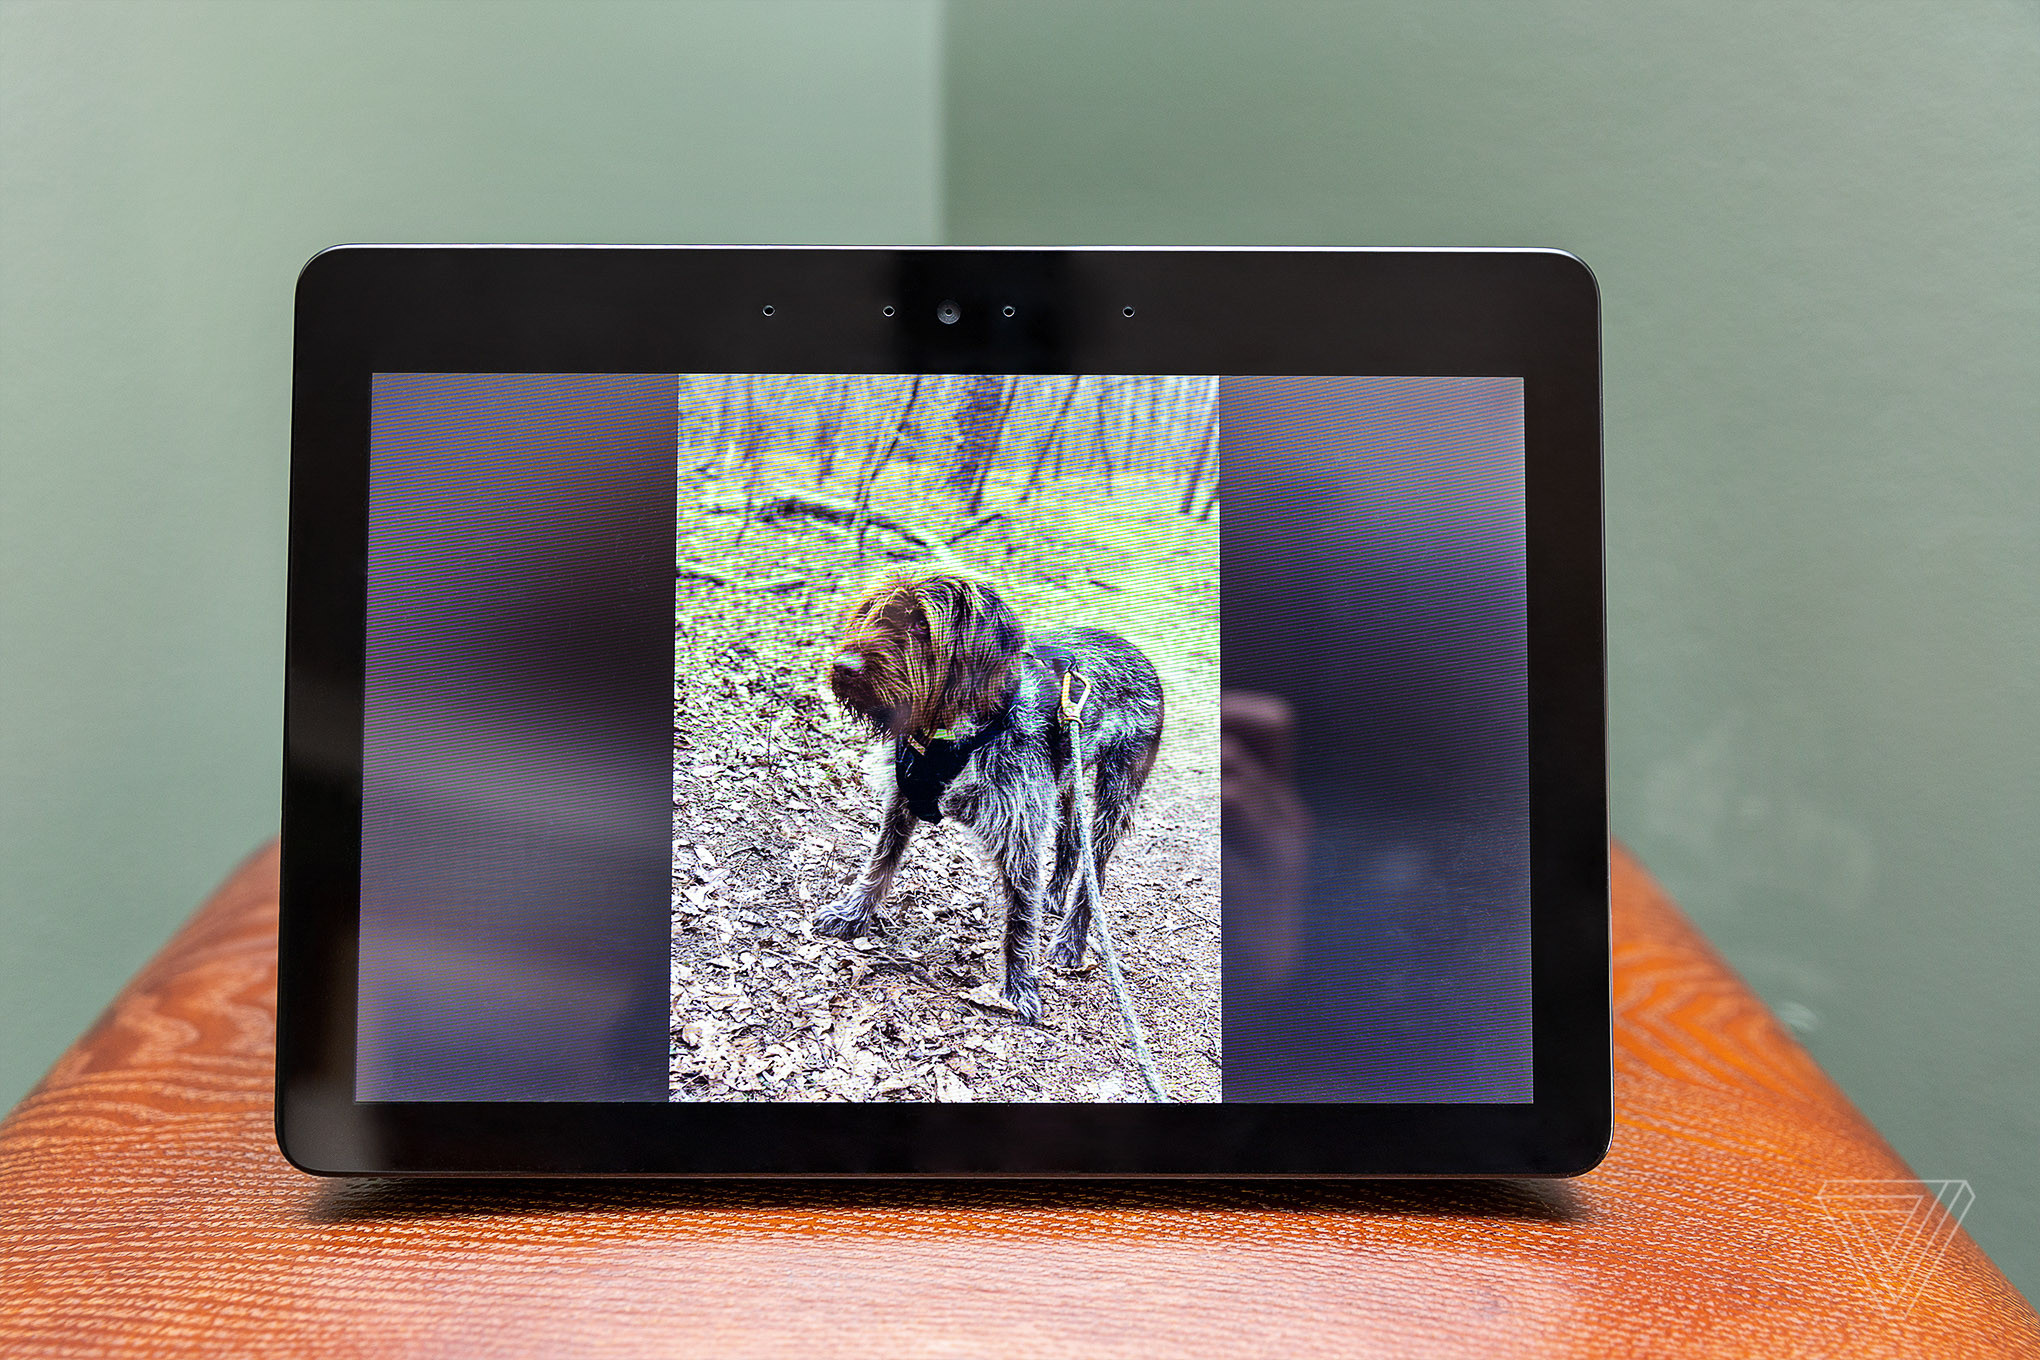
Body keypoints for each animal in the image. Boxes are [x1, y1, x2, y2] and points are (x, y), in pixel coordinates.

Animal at [816, 562, 1166, 1019]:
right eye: (871, 612)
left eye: (921, 623)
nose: (844, 666)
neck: (947, 735)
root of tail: (1138, 652)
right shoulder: (902, 800)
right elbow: (879, 864)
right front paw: (852, 913)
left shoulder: (1019, 829)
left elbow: (1020, 915)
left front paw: (1020, 986)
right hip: (1067, 778)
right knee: (1073, 841)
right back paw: (1055, 894)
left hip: (1117, 791)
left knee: (1097, 870)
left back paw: (1072, 940)